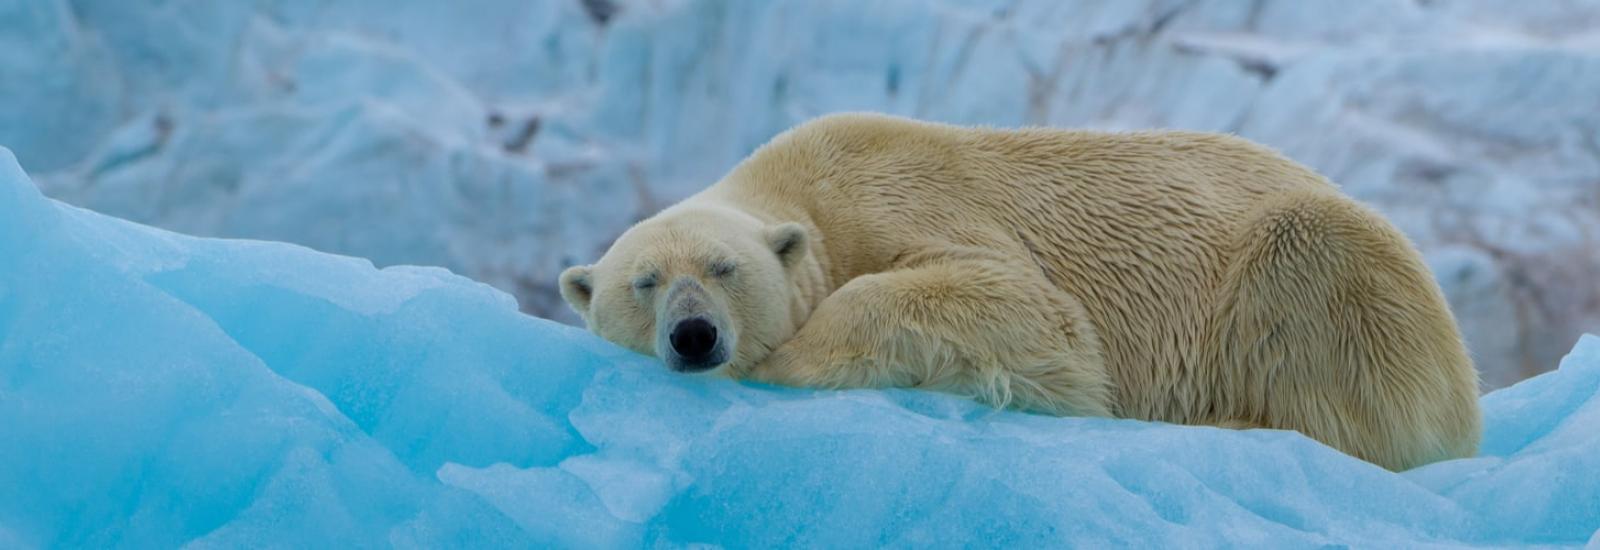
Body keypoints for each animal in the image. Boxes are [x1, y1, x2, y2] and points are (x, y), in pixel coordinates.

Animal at [559, 113, 1482, 471]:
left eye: (723, 269)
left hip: (1336, 272)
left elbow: (1023, 307)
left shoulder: (903, 199)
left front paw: (786, 360)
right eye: (644, 283)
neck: (808, 187)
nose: (694, 336)